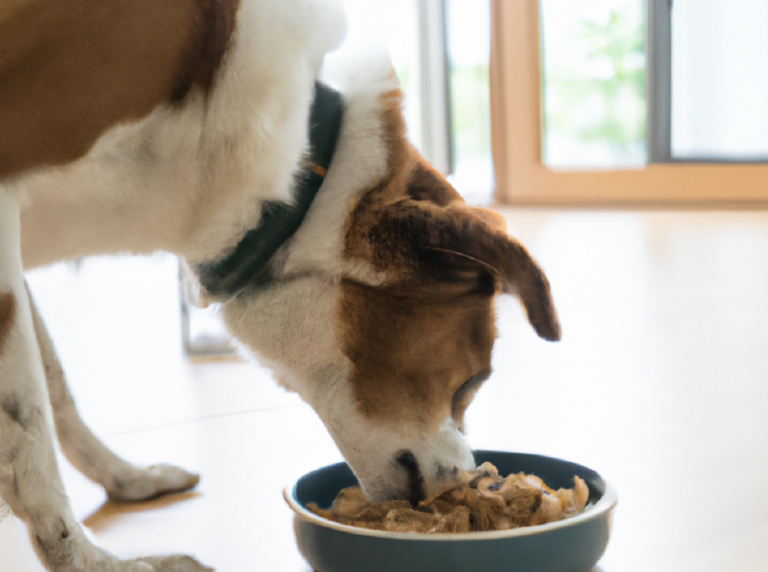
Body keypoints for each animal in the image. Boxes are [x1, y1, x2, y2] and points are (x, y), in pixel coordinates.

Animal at [1, 2, 560, 568]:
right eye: (473, 381)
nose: (464, 481)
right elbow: (29, 434)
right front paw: (94, 562)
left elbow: (55, 388)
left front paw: (124, 479)